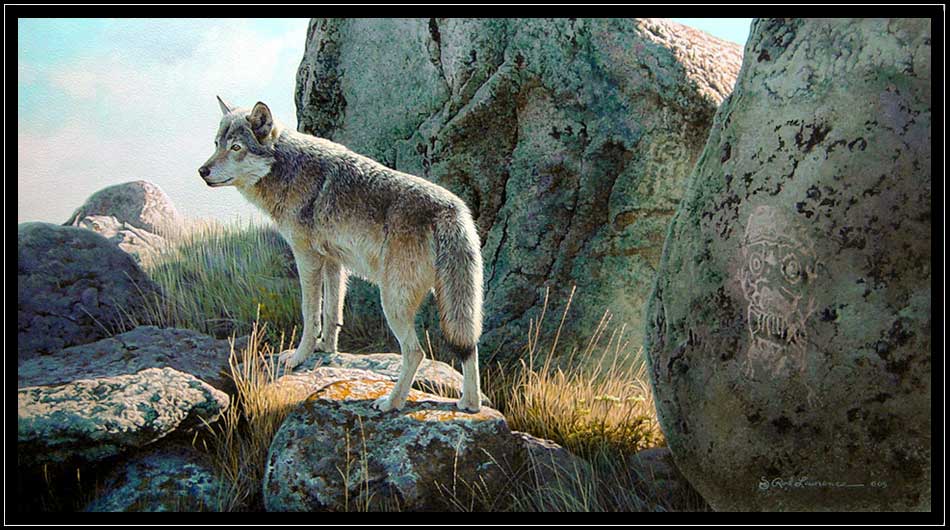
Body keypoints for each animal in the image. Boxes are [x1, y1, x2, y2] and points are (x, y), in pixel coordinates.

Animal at [198, 97, 484, 413]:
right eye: (217, 144)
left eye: (236, 148)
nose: (202, 171)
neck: (287, 170)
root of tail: (451, 210)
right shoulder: (334, 262)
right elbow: (332, 312)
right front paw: (327, 349)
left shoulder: (307, 258)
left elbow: (310, 314)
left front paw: (298, 358)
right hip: (457, 305)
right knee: (470, 347)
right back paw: (470, 405)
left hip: (393, 303)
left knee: (415, 352)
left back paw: (391, 403)